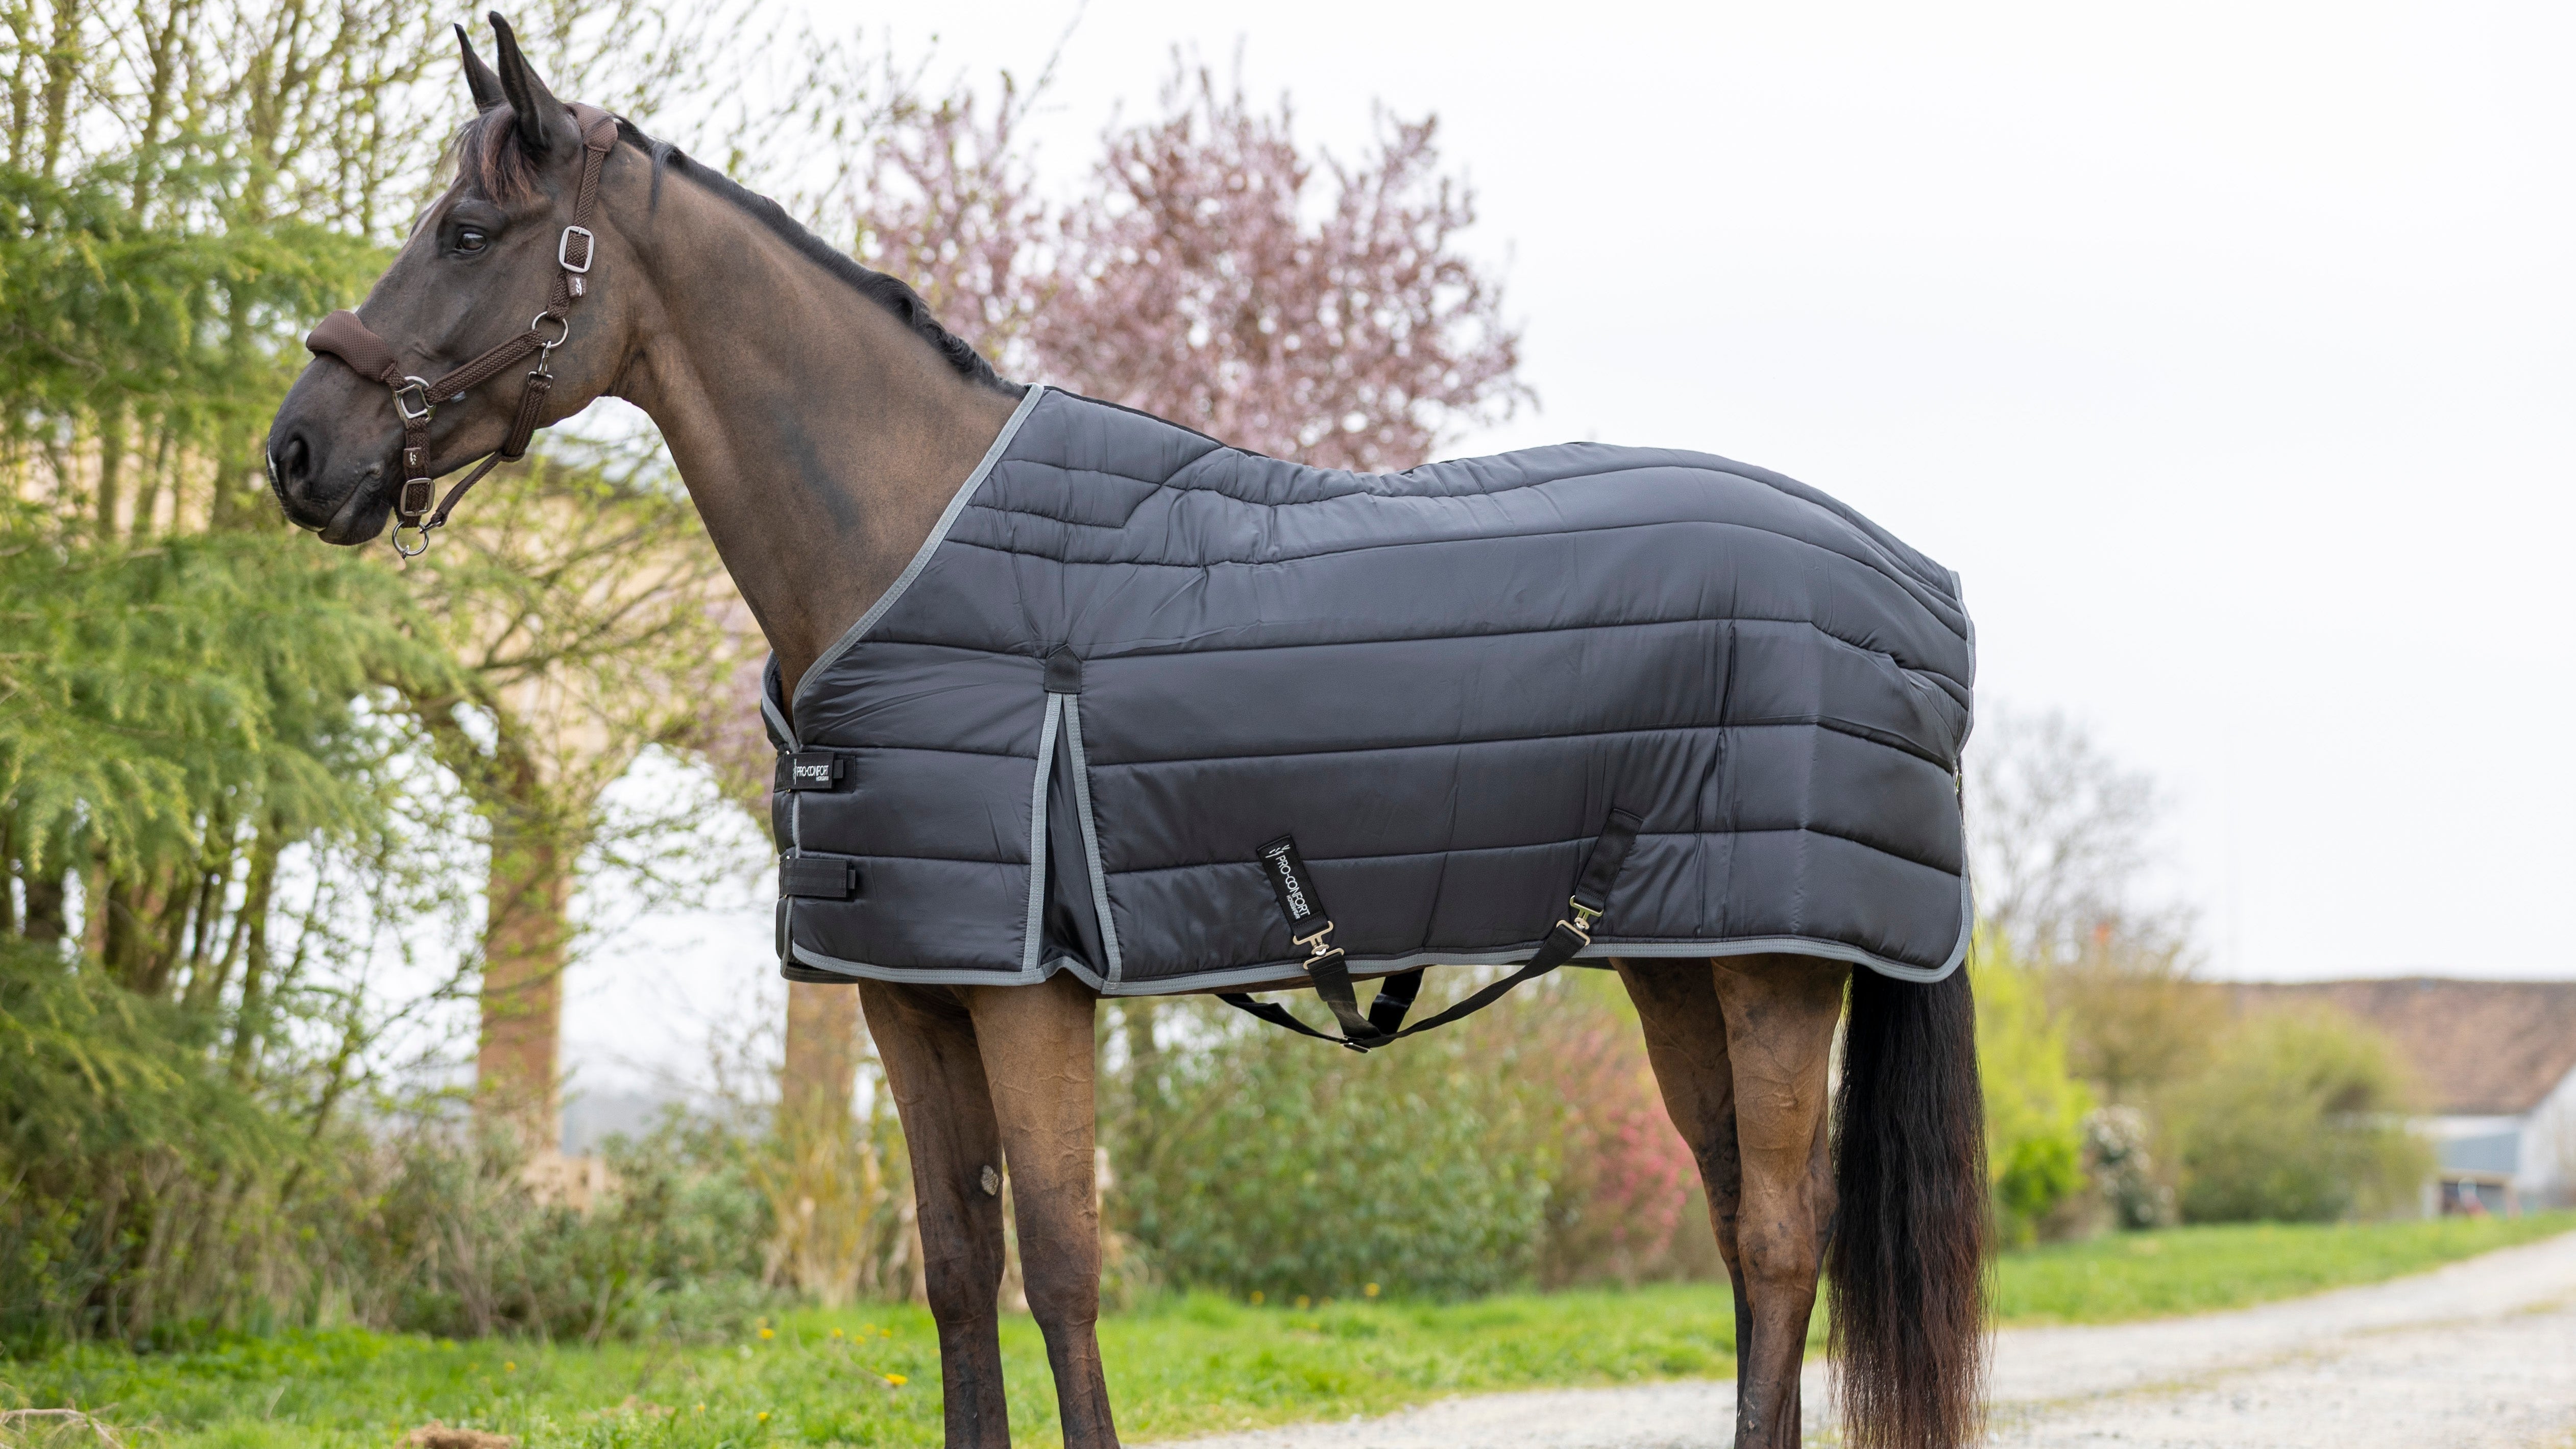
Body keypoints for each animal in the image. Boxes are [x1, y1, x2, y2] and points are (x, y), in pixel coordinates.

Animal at [265, 18, 1988, 1449]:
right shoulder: (906, 992)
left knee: (1776, 1238)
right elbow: (957, 1266)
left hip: (1774, 973)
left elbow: (1062, 1265)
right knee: (1739, 1227)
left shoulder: (1028, 991)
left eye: (465, 234)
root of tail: (1919, 587)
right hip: (1676, 967)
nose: (298, 454)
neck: (902, 546)